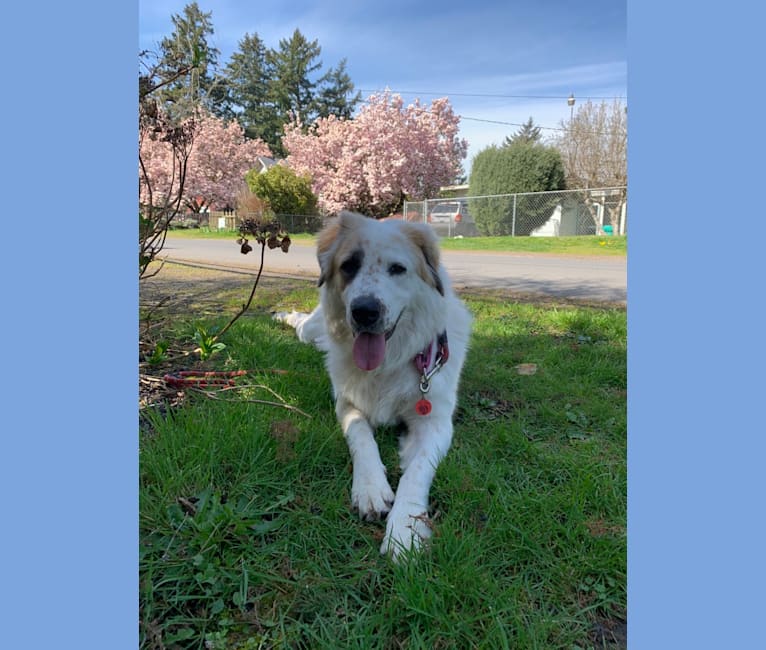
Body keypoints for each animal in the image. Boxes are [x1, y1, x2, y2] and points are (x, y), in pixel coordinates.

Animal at [272, 210, 472, 560]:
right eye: (349, 266)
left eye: (397, 269)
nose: (365, 311)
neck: (389, 362)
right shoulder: (347, 404)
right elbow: (361, 437)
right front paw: (370, 489)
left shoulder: (436, 420)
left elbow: (417, 469)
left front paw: (405, 528)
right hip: (311, 328)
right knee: (301, 323)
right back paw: (285, 317)